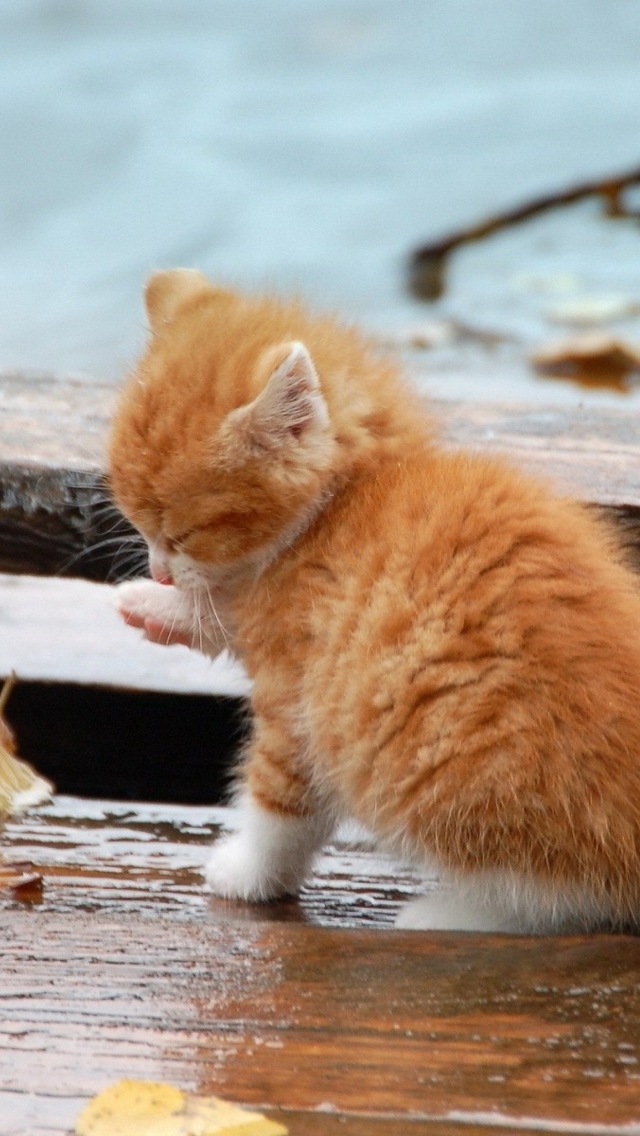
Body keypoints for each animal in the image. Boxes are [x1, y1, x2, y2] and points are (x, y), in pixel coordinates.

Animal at [110, 270, 640, 936]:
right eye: (140, 525)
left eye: (182, 533)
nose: (158, 568)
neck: (341, 503)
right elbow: (223, 610)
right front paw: (155, 605)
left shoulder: (301, 697)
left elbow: (282, 808)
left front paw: (249, 874)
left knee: (569, 894)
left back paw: (446, 913)